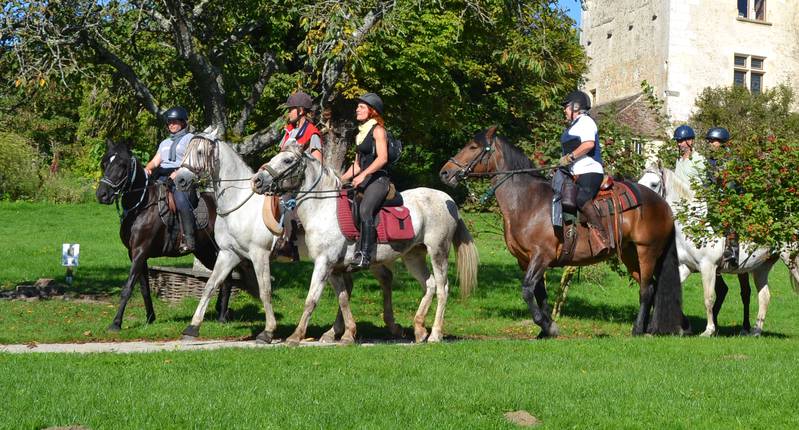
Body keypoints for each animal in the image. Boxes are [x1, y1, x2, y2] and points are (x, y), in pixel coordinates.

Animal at [95, 140, 234, 331]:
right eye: (104, 163)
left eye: (122, 165)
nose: (102, 194)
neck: (142, 205)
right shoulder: (136, 254)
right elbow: (144, 288)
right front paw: (150, 318)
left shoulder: (140, 251)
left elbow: (128, 288)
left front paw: (116, 323)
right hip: (204, 252)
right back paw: (221, 311)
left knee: (227, 279)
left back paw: (221, 317)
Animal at [250, 143, 479, 345]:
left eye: (287, 160)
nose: (257, 181)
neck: (323, 209)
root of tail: (448, 200)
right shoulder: (335, 268)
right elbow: (343, 298)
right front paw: (347, 334)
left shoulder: (324, 263)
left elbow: (311, 299)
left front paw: (296, 336)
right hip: (413, 256)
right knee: (429, 285)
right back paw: (420, 329)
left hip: (438, 251)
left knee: (442, 288)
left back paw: (435, 334)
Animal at [439, 127, 688, 337]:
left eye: (473, 147)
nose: (445, 173)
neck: (528, 201)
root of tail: (663, 205)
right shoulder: (526, 259)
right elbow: (539, 293)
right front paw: (545, 330)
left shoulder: (542, 255)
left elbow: (527, 290)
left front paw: (548, 325)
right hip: (630, 254)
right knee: (652, 287)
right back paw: (652, 327)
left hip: (647, 252)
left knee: (646, 290)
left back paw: (638, 330)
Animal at [638, 166, 799, 336]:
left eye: (654, 184)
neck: (694, 225)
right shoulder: (686, 267)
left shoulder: (708, 267)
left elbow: (708, 298)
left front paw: (708, 330)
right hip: (761, 268)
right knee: (764, 296)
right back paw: (755, 331)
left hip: (792, 260)